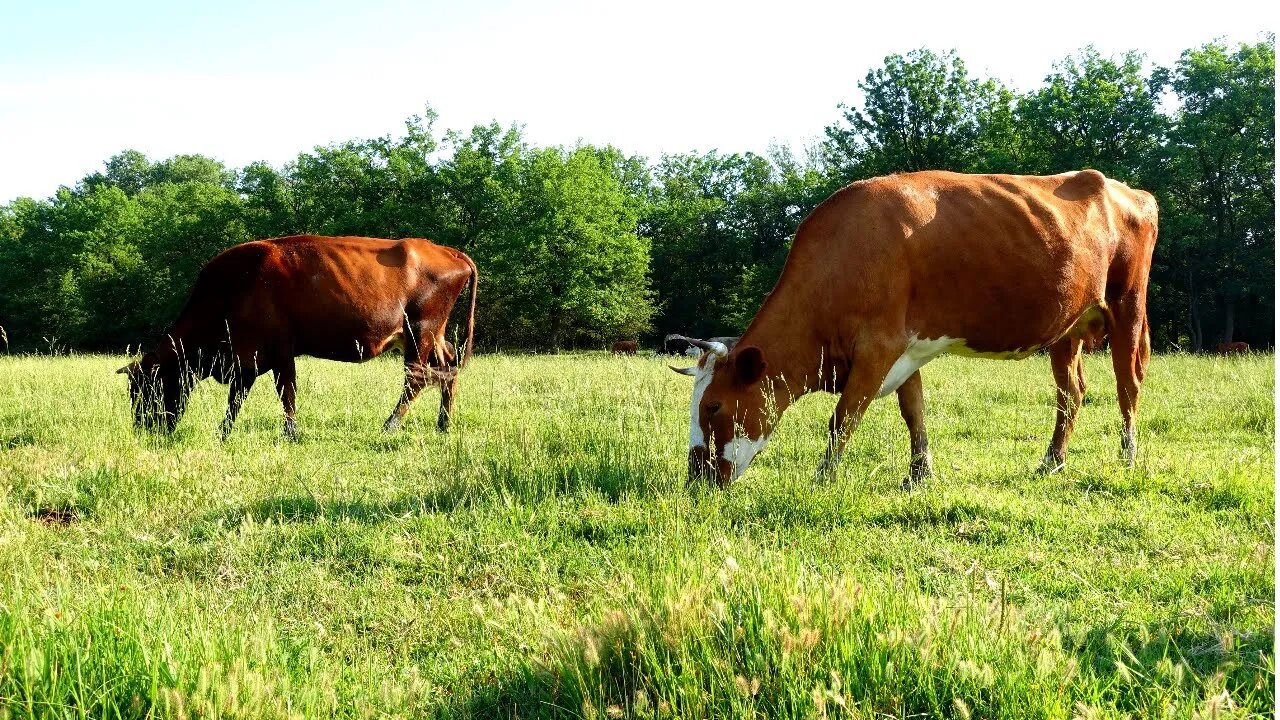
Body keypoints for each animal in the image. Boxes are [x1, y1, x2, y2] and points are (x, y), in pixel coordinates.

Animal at [117, 235, 478, 438]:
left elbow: (275, 393)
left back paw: (390, 426)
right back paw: (443, 424)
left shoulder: (266, 354)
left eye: (147, 390)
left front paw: (284, 432)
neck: (230, 290)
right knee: (447, 370)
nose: (143, 430)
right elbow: (256, 395)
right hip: (432, 335)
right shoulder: (259, 358)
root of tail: (448, 252)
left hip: (420, 332)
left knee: (416, 379)